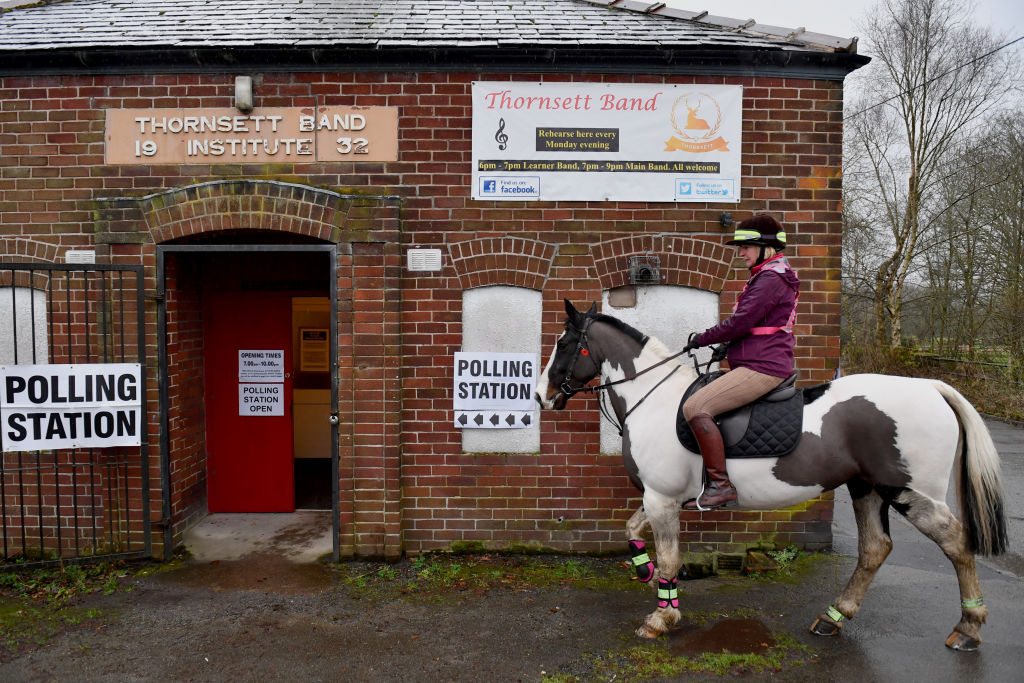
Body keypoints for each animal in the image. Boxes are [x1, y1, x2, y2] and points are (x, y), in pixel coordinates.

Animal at [536, 301, 1007, 651]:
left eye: (564, 343)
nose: (542, 396)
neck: (653, 399)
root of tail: (930, 386)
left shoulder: (663, 500)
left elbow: (668, 555)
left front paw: (661, 616)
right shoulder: (656, 498)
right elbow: (632, 530)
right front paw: (645, 572)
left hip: (909, 491)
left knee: (956, 542)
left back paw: (968, 627)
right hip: (867, 488)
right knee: (875, 548)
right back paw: (833, 617)